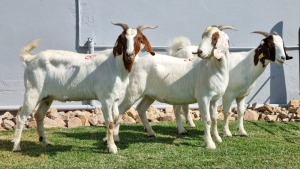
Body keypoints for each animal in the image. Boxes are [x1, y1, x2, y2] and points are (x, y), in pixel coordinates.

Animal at [11, 21, 157, 154]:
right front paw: (112, 148)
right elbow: (110, 122)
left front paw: (109, 143)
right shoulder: (106, 99)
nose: (129, 55)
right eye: (123, 39)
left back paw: (45, 142)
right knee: (21, 116)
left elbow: (116, 119)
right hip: (33, 91)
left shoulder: (115, 98)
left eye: (139, 39)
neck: (116, 65)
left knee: (39, 115)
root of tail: (30, 59)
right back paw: (17, 146)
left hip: (47, 96)